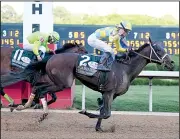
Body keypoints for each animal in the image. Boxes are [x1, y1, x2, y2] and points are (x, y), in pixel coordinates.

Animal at [9, 37, 174, 131]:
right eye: (158, 49)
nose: (171, 63)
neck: (125, 69)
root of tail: (51, 58)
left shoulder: (110, 94)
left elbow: (103, 111)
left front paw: (98, 128)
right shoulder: (108, 92)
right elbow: (106, 113)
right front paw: (85, 113)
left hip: (58, 83)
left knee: (39, 88)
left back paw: (26, 107)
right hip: (63, 83)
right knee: (40, 89)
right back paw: (35, 110)